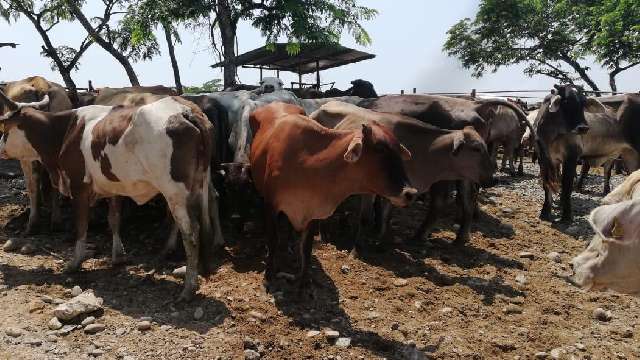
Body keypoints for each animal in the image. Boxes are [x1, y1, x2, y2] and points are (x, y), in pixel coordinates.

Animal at [0, 93, 222, 300]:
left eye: (5, 130)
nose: (0, 149)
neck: (64, 132)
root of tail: (186, 110)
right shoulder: (114, 186)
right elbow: (114, 220)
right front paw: (118, 256)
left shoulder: (79, 187)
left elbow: (81, 226)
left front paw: (75, 262)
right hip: (198, 184)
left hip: (174, 191)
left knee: (191, 232)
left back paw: (188, 288)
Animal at [248, 101, 418, 290]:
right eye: (380, 149)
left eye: (399, 151)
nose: (410, 193)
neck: (309, 163)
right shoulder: (271, 204)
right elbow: (273, 240)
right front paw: (268, 275)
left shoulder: (312, 211)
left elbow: (306, 248)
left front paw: (304, 281)